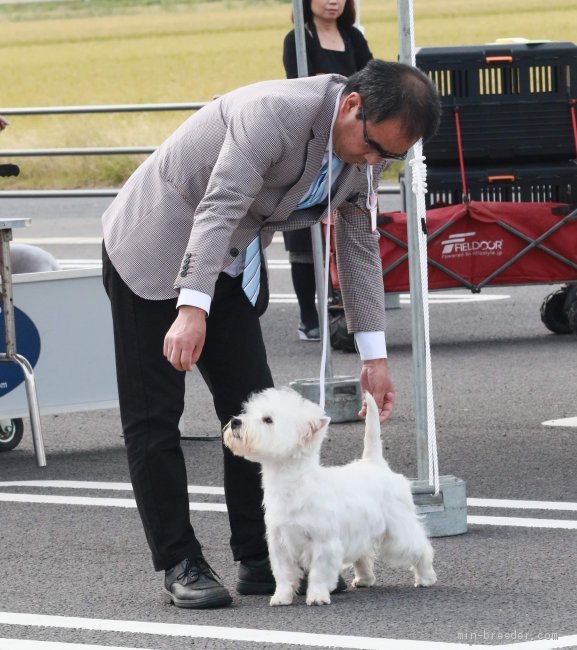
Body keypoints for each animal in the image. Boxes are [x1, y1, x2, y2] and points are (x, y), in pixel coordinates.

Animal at [222, 384, 436, 604]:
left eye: (268, 420)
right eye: (249, 412)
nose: (235, 421)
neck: (292, 485)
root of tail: (375, 463)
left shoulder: (323, 542)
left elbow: (319, 573)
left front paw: (317, 596)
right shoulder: (279, 543)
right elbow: (283, 573)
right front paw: (281, 597)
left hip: (398, 527)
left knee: (419, 548)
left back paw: (426, 577)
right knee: (363, 555)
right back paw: (365, 579)